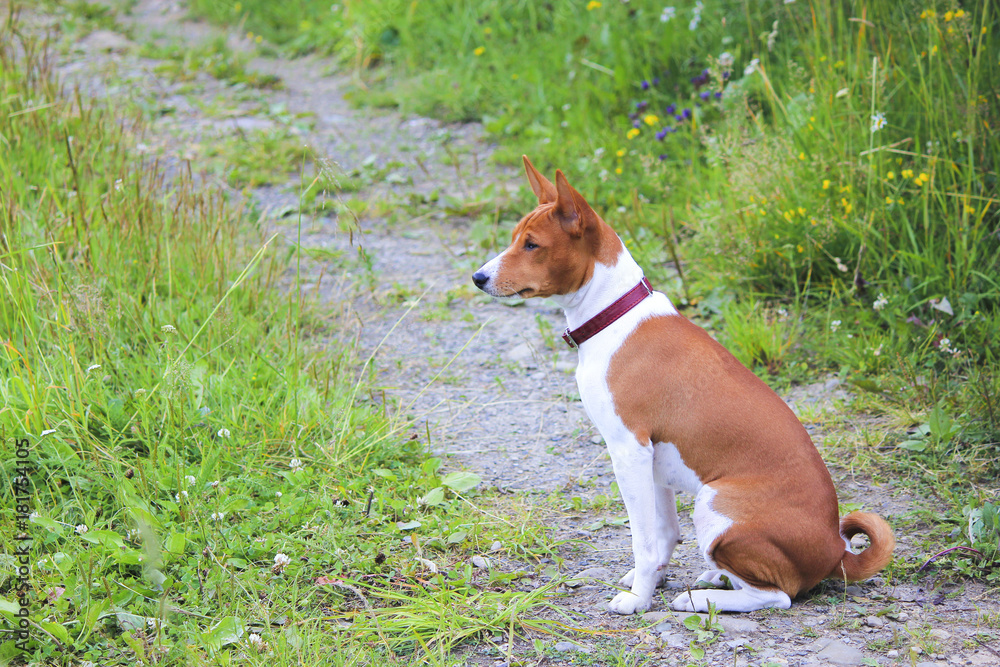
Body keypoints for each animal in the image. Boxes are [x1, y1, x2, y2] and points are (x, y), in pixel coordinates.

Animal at [472, 157, 896, 616]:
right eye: (515, 239)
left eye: (532, 245)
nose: (478, 277)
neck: (614, 315)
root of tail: (836, 552)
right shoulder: (654, 461)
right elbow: (662, 534)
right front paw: (652, 581)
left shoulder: (630, 451)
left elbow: (642, 539)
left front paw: (638, 599)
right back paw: (715, 577)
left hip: (714, 505)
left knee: (778, 595)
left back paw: (701, 598)